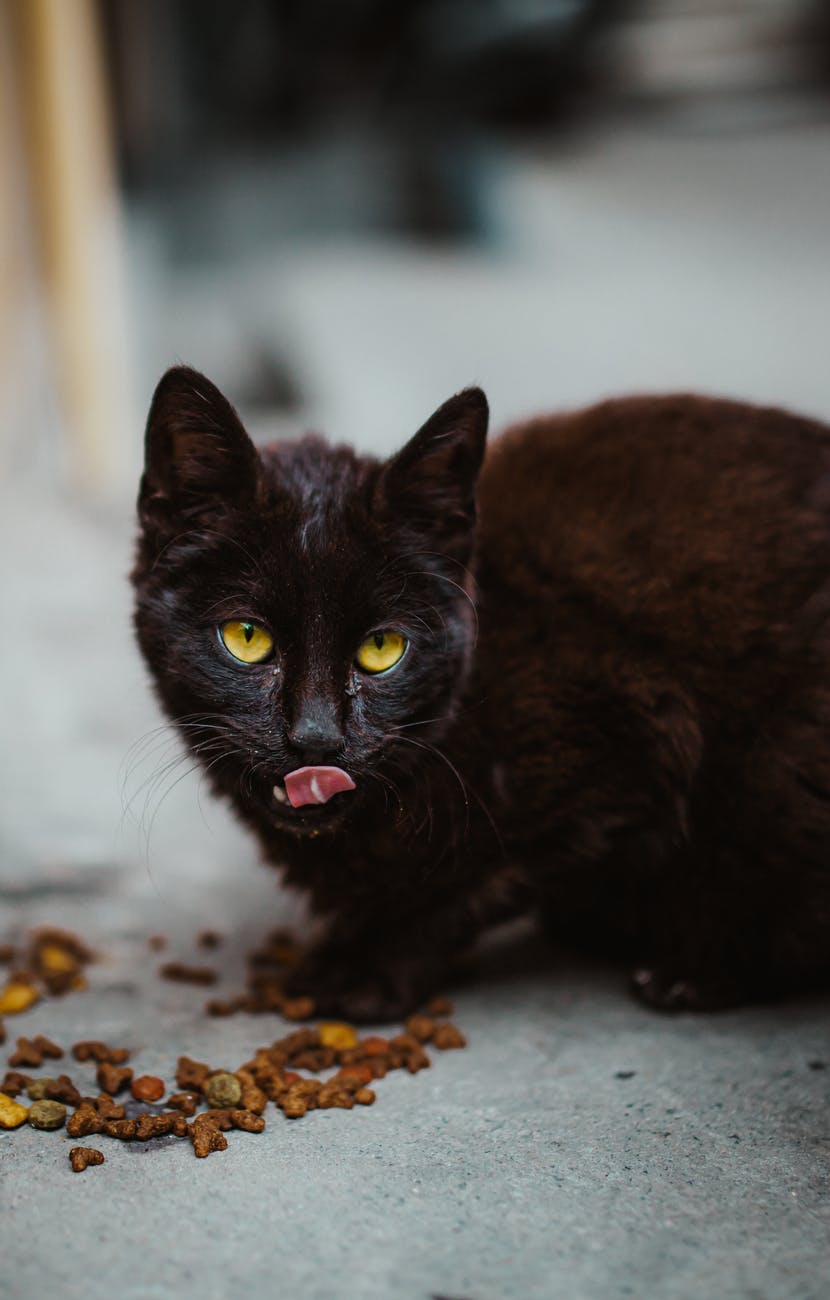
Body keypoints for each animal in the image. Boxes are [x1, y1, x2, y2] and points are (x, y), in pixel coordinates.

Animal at [131, 366, 830, 1013]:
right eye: (247, 637)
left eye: (382, 650)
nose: (316, 737)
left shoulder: (633, 739)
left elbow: (464, 879)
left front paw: (363, 964)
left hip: (774, 767)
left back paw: (687, 972)